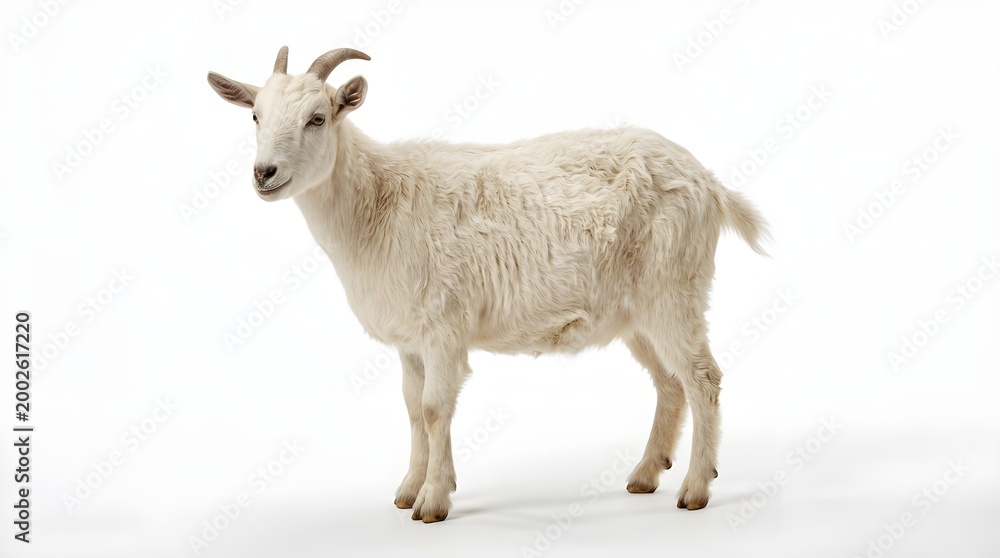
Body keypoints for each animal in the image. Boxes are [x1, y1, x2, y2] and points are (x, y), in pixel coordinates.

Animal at [207, 46, 769, 523]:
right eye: (255, 115)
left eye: (317, 118)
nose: (264, 173)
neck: (378, 203)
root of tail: (709, 182)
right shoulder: (411, 341)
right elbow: (413, 409)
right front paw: (410, 489)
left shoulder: (443, 326)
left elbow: (435, 409)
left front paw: (432, 502)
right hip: (637, 314)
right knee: (669, 383)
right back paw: (647, 474)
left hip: (674, 290)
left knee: (702, 378)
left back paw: (694, 489)